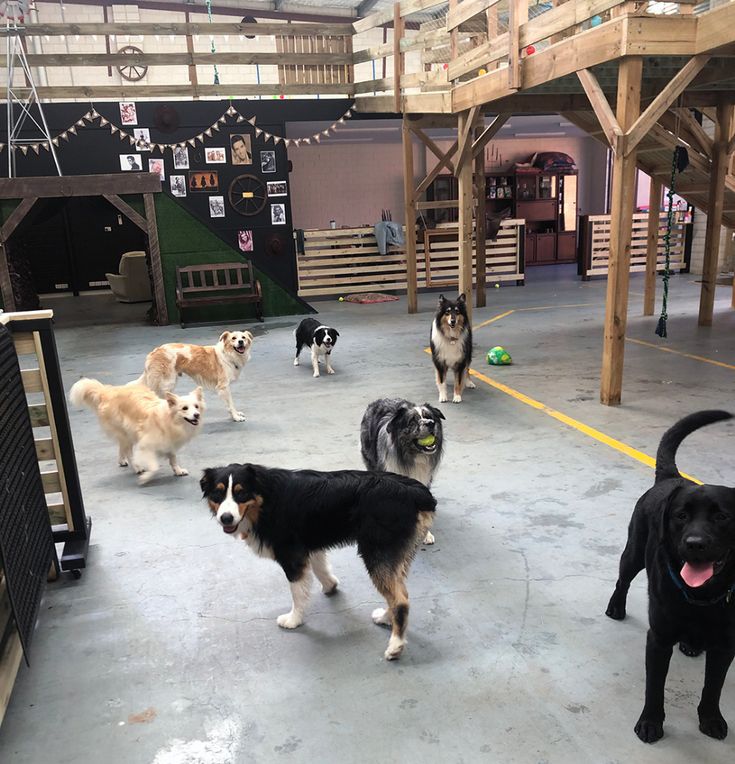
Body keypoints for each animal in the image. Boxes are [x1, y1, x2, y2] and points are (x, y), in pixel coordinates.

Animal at [69, 380, 204, 486]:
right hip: (126, 433)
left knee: (121, 446)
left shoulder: (169, 443)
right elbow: (154, 467)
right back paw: (136, 467)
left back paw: (122, 460)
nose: (197, 415)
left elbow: (173, 458)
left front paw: (178, 470)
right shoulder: (145, 446)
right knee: (128, 451)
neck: (169, 420)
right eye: (184, 408)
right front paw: (145, 478)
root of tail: (106, 392)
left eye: (196, 406)